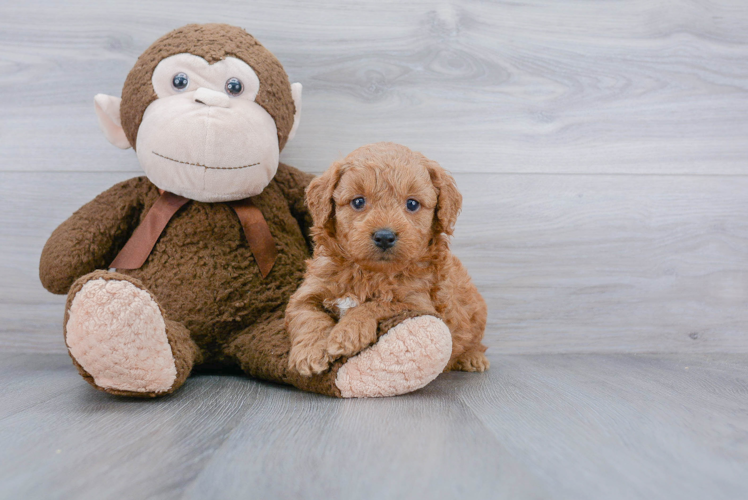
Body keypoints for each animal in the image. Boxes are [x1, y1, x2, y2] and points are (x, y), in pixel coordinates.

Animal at [284, 141, 488, 376]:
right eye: (358, 201)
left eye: (412, 204)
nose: (384, 237)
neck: (367, 272)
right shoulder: (307, 292)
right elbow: (308, 317)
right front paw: (309, 353)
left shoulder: (418, 304)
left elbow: (379, 304)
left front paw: (347, 332)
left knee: (474, 341)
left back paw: (473, 357)